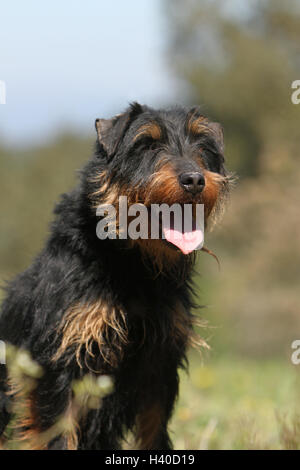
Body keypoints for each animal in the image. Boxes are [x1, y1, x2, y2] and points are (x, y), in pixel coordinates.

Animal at [0, 103, 231, 452]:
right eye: (147, 145)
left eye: (203, 146)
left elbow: (154, 432)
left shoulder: (160, 366)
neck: (135, 265)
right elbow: (59, 435)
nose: (194, 179)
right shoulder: (59, 363)